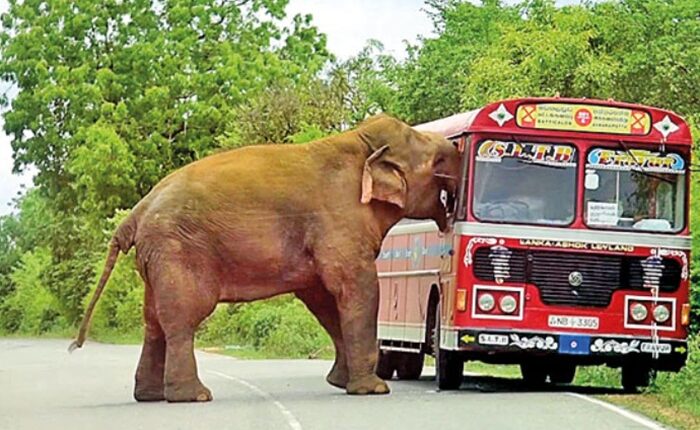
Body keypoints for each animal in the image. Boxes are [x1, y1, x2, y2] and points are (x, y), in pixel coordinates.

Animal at [69, 114, 460, 402]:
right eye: (437, 162)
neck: (358, 141)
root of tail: (137, 211)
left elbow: (322, 297)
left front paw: (339, 383)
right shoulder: (338, 221)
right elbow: (356, 287)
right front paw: (373, 390)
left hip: (156, 256)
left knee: (153, 322)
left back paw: (151, 396)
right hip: (178, 251)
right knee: (183, 317)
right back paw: (194, 397)